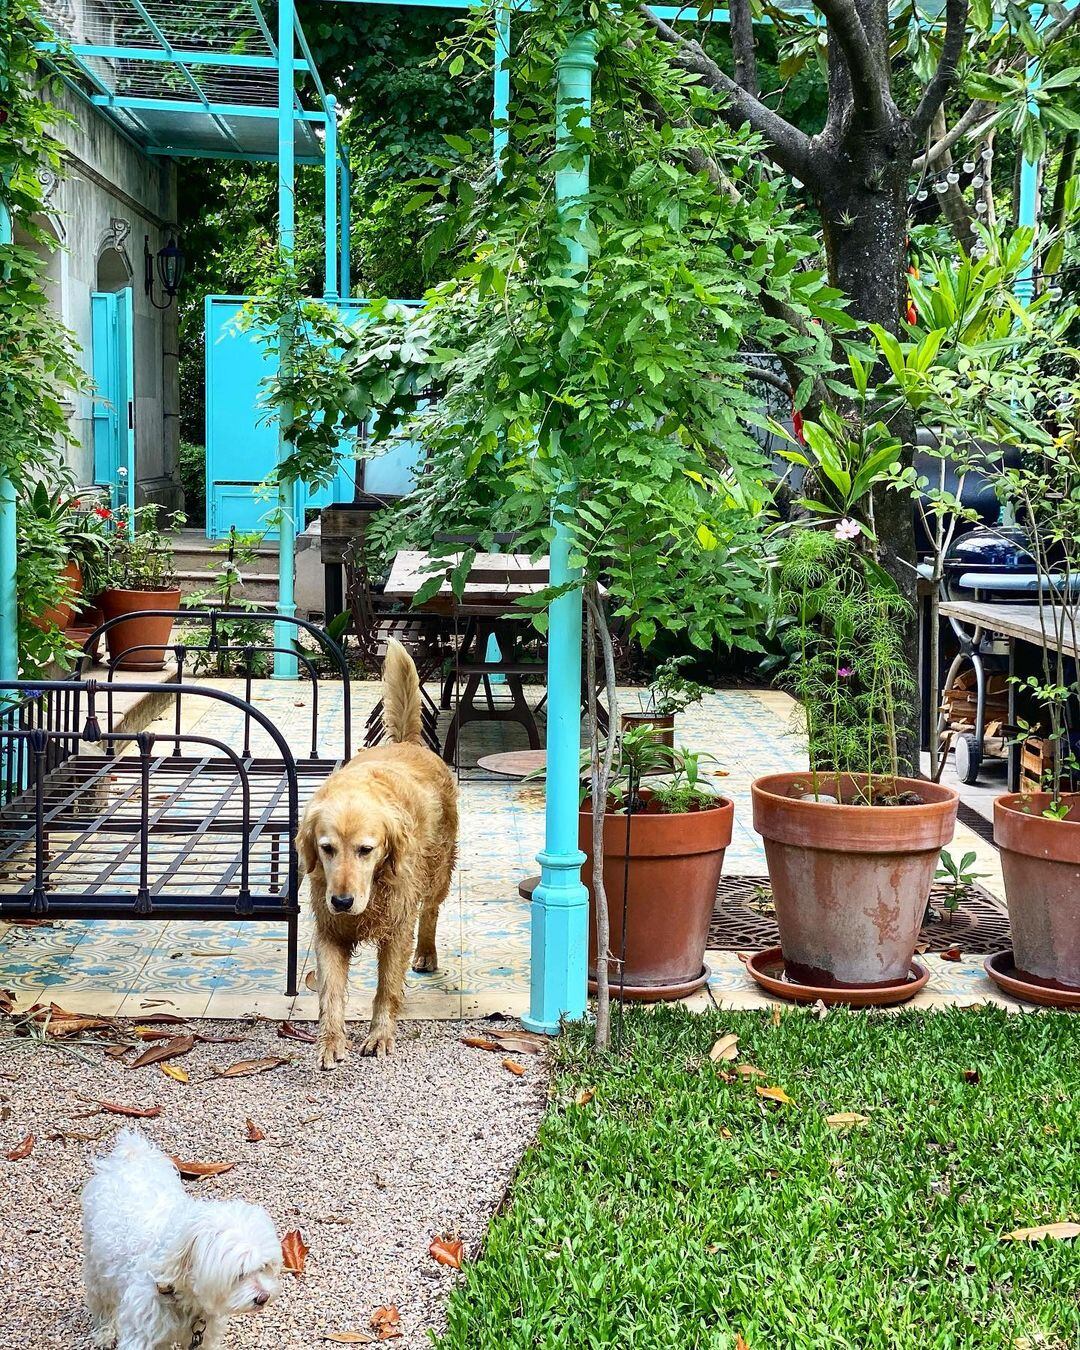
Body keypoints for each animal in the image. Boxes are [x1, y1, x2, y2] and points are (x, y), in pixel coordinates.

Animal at [82, 1128, 280, 1350]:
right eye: (239, 1273)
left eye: (264, 1266)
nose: (263, 1297)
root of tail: (131, 1157)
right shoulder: (142, 1332)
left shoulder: (203, 1334)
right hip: (98, 1268)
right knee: (102, 1302)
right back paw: (105, 1333)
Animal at [297, 637, 459, 1069]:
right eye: (327, 848)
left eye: (366, 850)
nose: (342, 900)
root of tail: (406, 742)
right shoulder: (330, 931)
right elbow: (331, 993)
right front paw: (331, 1041)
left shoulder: (396, 929)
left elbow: (387, 986)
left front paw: (380, 1035)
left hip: (439, 871)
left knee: (431, 911)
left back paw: (426, 953)